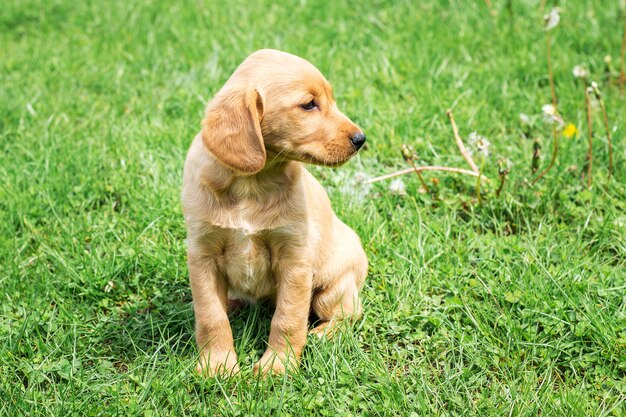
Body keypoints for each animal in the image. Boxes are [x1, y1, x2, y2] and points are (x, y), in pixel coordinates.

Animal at [179, 49, 366, 376]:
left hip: (334, 285)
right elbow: (211, 316)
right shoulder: (202, 256)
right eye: (309, 104)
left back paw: (323, 334)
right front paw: (218, 365)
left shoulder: (295, 259)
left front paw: (277, 366)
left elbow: (288, 318)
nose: (361, 139)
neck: (251, 184)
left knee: (349, 313)